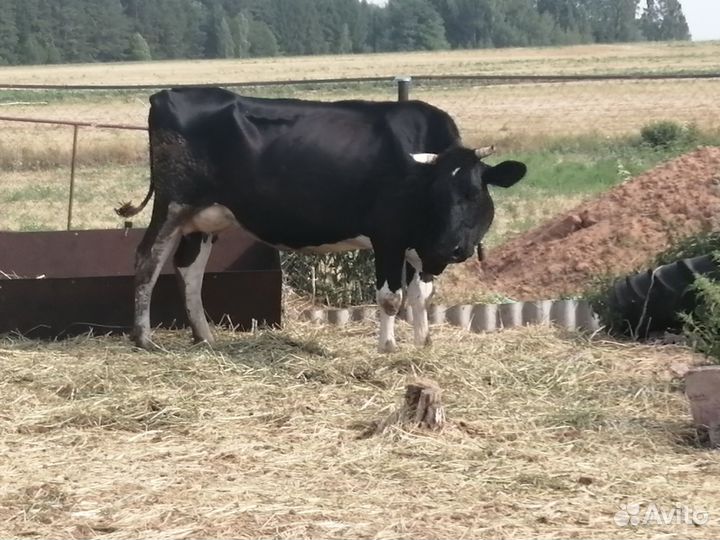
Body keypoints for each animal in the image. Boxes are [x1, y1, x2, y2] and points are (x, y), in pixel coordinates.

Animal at [117, 87, 526, 352]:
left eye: (473, 194)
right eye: (437, 196)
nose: (452, 247)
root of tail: (165, 94)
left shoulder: (420, 245)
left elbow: (420, 295)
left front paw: (423, 343)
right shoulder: (389, 236)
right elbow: (390, 298)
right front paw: (389, 347)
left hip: (203, 218)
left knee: (189, 269)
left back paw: (205, 336)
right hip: (173, 203)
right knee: (148, 258)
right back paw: (144, 337)